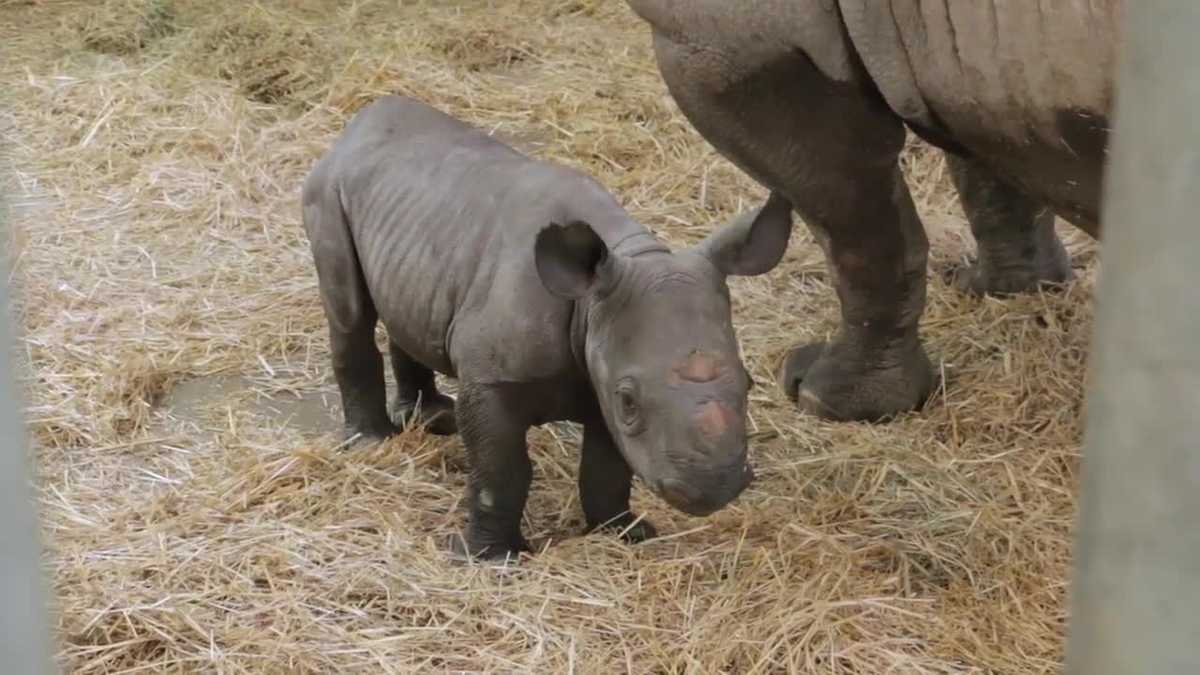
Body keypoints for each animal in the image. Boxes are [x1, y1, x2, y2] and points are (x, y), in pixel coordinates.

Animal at [300, 94, 792, 557]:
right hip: (328, 188)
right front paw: (492, 558)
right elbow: (502, 471)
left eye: (749, 384)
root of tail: (357, 124)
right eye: (629, 401)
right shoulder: (495, 380)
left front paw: (625, 534)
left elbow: (606, 471)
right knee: (350, 311)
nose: (715, 489)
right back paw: (371, 444)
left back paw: (433, 419)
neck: (592, 300)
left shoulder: (601, 369)